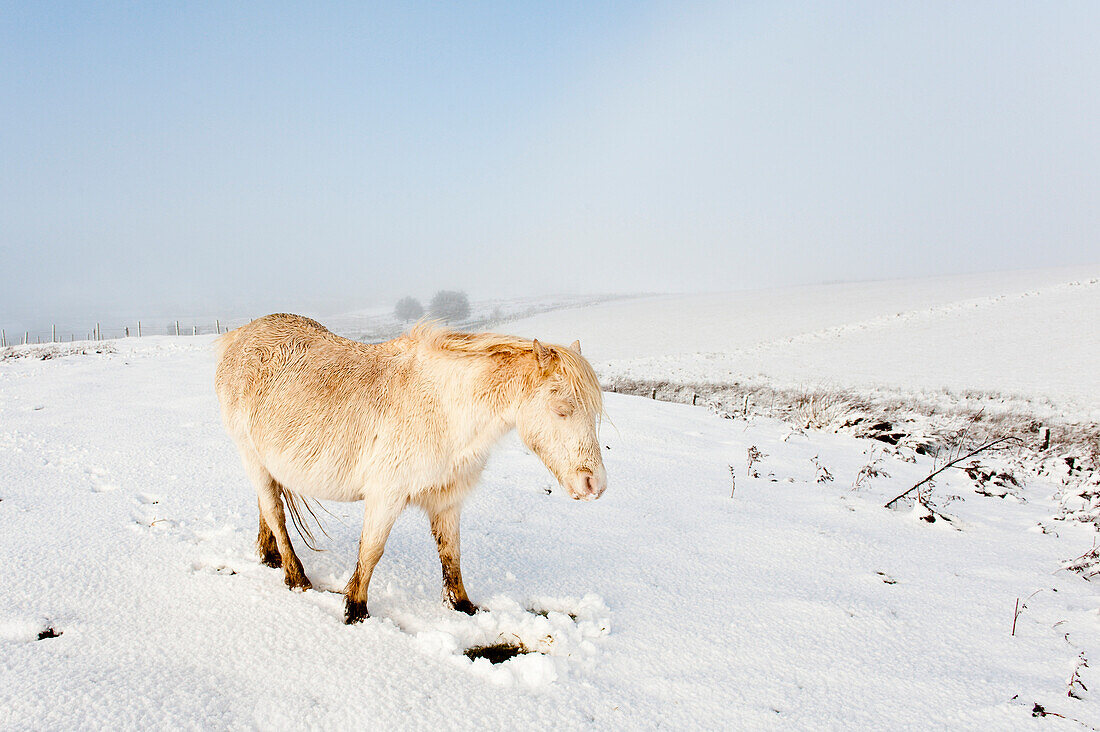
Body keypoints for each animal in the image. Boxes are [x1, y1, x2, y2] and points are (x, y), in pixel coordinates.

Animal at [210, 314, 607, 620]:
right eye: (561, 409)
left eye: (593, 412)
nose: (594, 485)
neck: (444, 409)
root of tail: (239, 335)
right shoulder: (385, 496)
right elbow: (371, 551)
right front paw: (355, 610)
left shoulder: (447, 500)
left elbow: (451, 554)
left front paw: (462, 607)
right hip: (250, 455)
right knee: (275, 513)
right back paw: (296, 578)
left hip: (267, 461)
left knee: (267, 507)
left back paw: (270, 556)